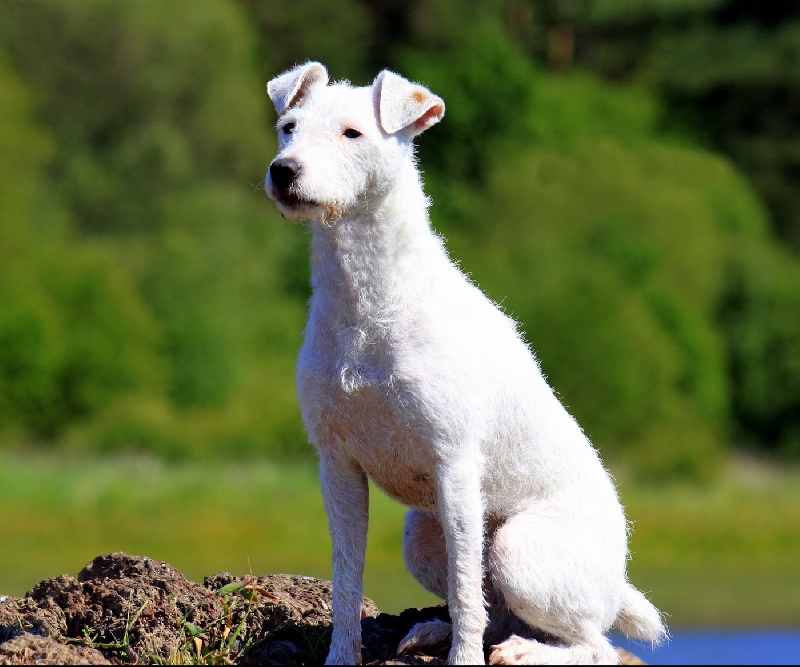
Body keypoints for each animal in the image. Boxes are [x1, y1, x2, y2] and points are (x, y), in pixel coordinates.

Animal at [264, 61, 667, 665]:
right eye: (287, 127)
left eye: (352, 133)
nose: (282, 171)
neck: (370, 303)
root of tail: (618, 582)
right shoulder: (337, 464)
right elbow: (347, 577)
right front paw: (341, 655)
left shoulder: (453, 463)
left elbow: (464, 585)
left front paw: (465, 659)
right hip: (420, 535)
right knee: (496, 607)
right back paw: (435, 630)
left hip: (517, 548)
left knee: (590, 643)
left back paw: (524, 651)